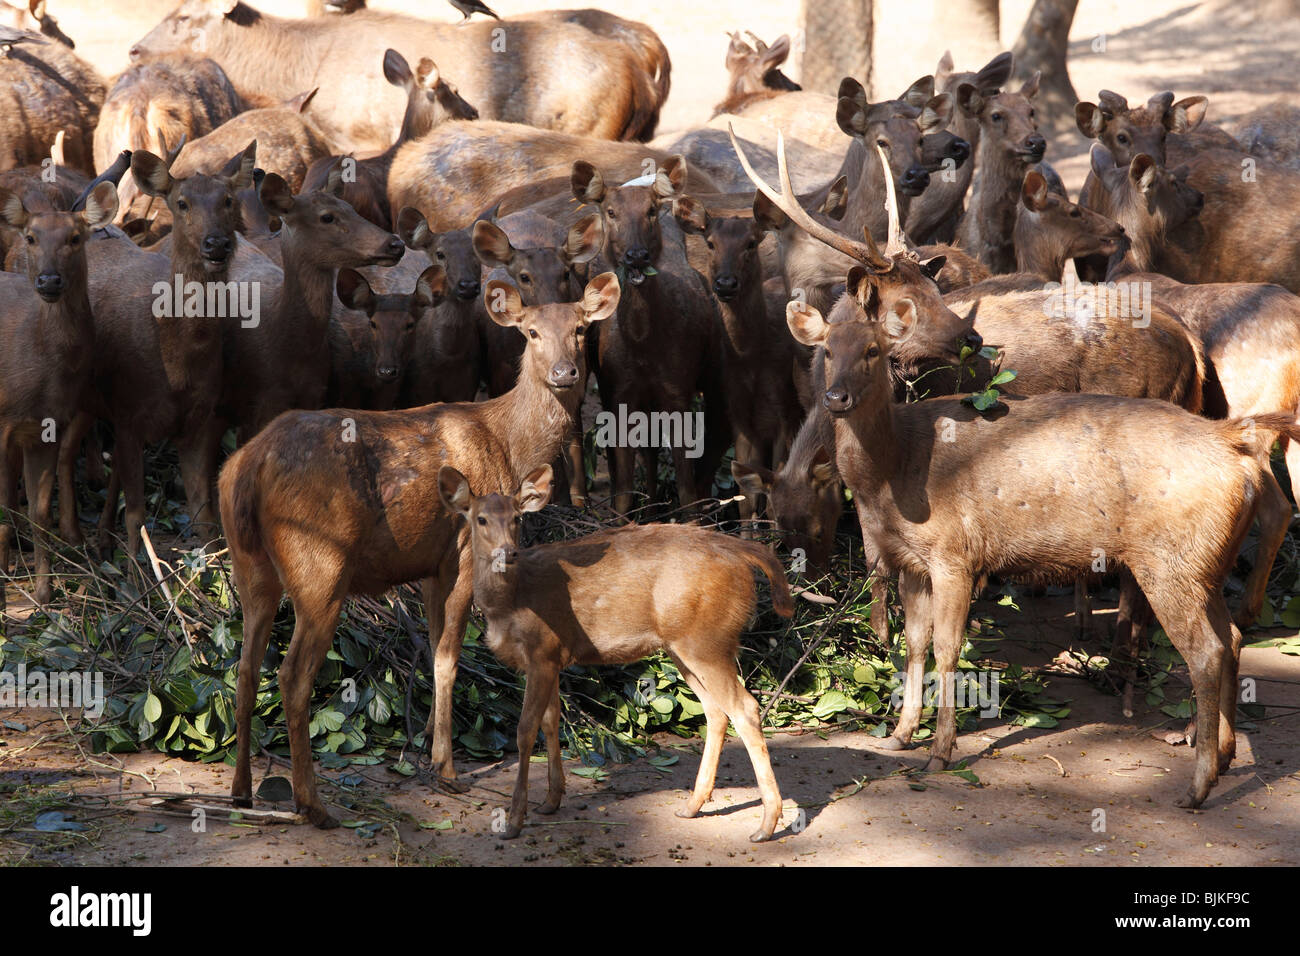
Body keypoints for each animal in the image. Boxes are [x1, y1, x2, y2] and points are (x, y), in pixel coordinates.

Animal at [0, 183, 115, 608]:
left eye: (75, 237)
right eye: (31, 238)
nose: (49, 281)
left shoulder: (44, 428)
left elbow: (39, 513)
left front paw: (43, 592)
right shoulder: (2, 423)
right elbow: (4, 505)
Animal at [441, 463, 790, 842]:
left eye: (518, 518)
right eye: (481, 519)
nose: (508, 552)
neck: (511, 601)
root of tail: (742, 552)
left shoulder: (542, 651)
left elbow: (525, 730)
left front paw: (514, 820)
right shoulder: (552, 657)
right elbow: (551, 722)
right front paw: (550, 800)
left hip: (707, 639)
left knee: (745, 708)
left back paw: (766, 825)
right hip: (684, 645)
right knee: (715, 711)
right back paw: (692, 806)